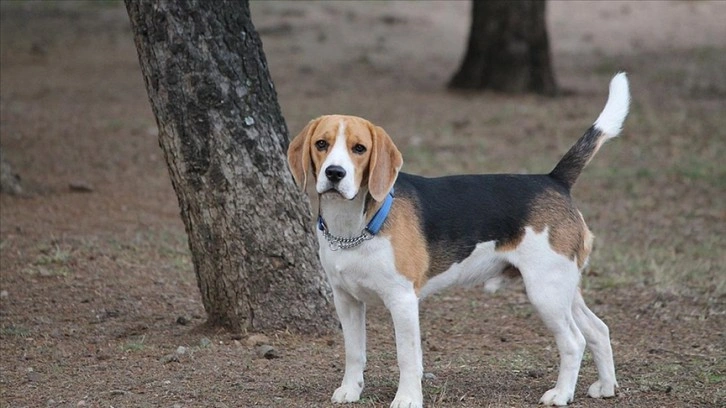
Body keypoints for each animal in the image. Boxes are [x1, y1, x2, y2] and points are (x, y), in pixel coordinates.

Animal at [288, 75, 628, 406]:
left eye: (359, 148)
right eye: (321, 144)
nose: (334, 173)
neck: (353, 225)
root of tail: (554, 180)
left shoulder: (402, 300)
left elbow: (407, 357)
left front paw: (407, 398)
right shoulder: (346, 300)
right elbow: (354, 352)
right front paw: (351, 390)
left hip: (546, 291)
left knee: (574, 341)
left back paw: (560, 394)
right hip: (563, 287)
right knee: (599, 330)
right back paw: (606, 386)